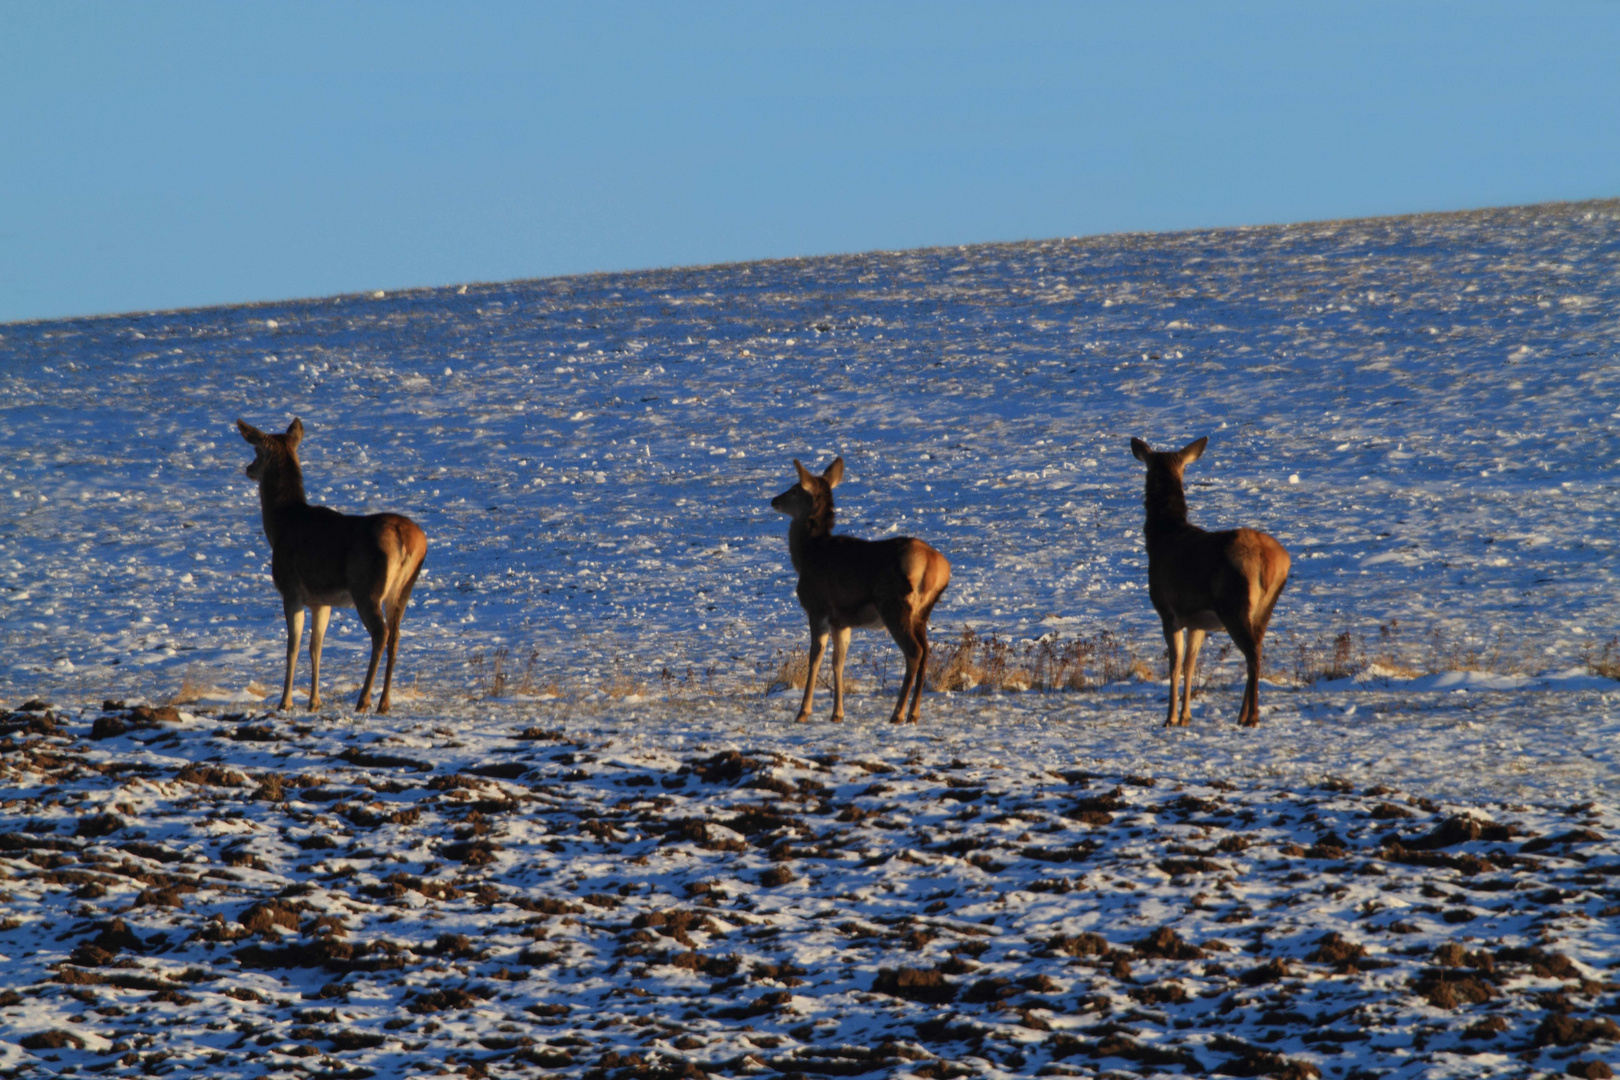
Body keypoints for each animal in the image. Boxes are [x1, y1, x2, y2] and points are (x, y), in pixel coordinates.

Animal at [236, 420, 427, 718]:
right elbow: (316, 646)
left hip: (366, 588)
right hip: (403, 589)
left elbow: (293, 646)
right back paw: (384, 703)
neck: (279, 526)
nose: (248, 468)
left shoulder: (291, 590)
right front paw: (314, 702)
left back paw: (364, 700)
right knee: (396, 635)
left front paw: (285, 702)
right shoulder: (321, 601)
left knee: (381, 634)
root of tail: (406, 537)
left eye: (256, 449)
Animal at [771, 459, 946, 725]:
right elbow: (838, 662)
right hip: (922, 613)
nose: (773, 500)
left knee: (914, 651)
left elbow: (815, 658)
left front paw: (803, 712)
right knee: (926, 651)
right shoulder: (842, 621)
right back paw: (913, 713)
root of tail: (935, 566)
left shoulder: (817, 608)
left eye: (794, 489)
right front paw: (837, 713)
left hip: (893, 605)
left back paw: (897, 713)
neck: (807, 555)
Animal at [1127, 437, 1289, 725]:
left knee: (1252, 654)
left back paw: (1251, 717)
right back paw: (1242, 715)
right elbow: (1190, 664)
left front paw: (1170, 718)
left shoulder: (1168, 612)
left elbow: (1175, 664)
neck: (1161, 538)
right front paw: (1186, 716)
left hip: (1233, 605)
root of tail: (1269, 562)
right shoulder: (1197, 621)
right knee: (1257, 649)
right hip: (1264, 608)